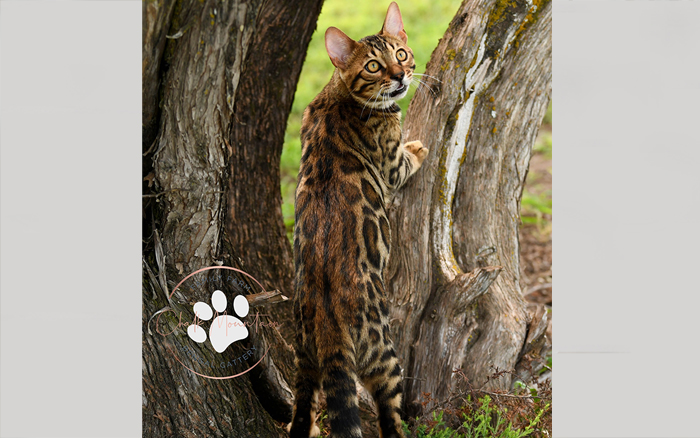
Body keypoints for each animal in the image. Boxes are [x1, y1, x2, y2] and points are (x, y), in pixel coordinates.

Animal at [288, 3, 430, 438]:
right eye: (373, 66)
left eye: (399, 54)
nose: (400, 76)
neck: (338, 95)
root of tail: (328, 327)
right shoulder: (390, 165)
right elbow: (405, 162)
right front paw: (418, 148)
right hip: (385, 356)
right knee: (390, 419)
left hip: (302, 360)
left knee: (302, 408)